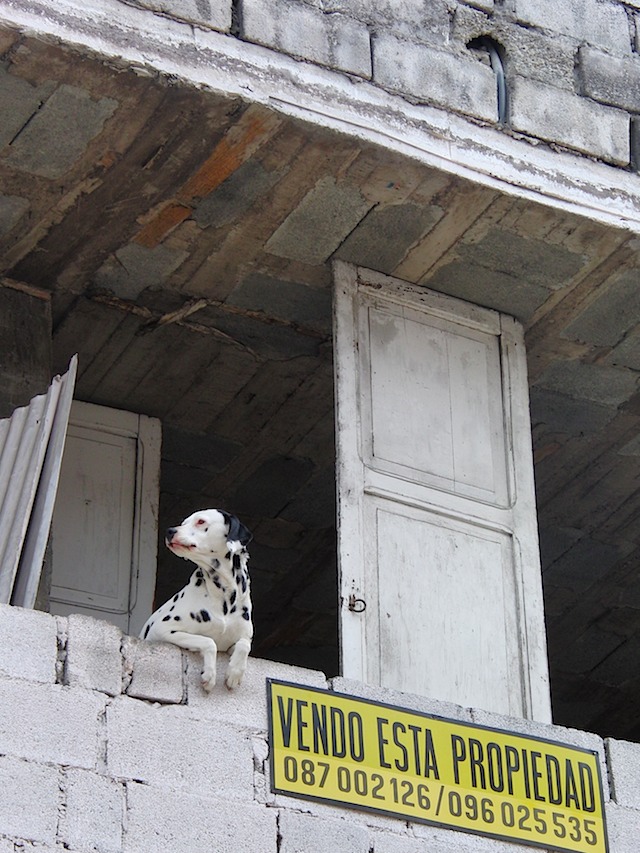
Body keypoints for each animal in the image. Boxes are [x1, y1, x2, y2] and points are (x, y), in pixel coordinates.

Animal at [140, 510, 252, 688]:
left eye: (200, 521)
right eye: (183, 523)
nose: (169, 531)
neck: (224, 594)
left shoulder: (237, 641)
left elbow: (244, 644)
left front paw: (234, 672)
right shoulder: (162, 630)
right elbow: (209, 642)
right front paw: (210, 674)